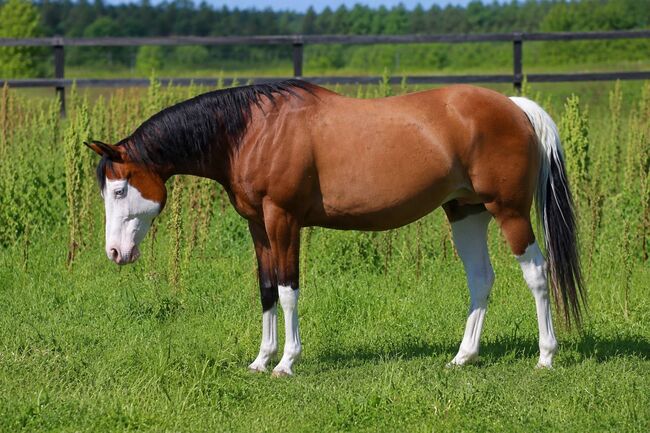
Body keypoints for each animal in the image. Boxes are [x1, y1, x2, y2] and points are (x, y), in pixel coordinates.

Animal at [86, 79, 584, 376]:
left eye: (119, 189)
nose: (115, 253)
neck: (253, 131)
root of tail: (513, 106)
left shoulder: (282, 218)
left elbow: (288, 289)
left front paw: (287, 362)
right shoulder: (257, 225)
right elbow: (266, 289)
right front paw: (261, 359)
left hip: (509, 211)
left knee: (537, 274)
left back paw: (546, 356)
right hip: (466, 211)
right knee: (481, 279)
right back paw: (463, 357)